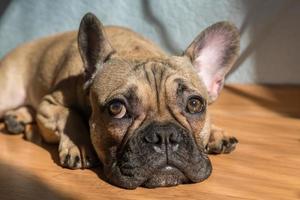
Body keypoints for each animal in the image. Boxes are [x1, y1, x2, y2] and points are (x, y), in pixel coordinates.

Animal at [0, 12, 239, 189]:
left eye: (194, 104)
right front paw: (79, 144)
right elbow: (69, 114)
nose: (164, 136)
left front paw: (216, 132)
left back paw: (19, 120)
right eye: (117, 109)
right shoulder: (48, 105)